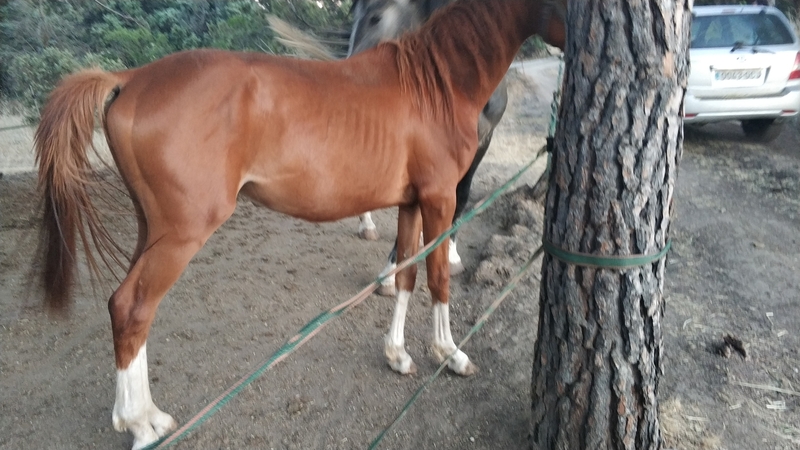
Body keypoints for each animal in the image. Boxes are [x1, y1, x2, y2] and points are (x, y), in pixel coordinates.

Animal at [34, 1, 566, 448]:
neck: (435, 83)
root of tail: (131, 78)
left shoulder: (412, 203)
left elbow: (406, 274)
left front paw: (397, 355)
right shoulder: (439, 199)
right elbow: (437, 278)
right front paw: (449, 354)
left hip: (152, 228)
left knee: (125, 307)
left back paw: (147, 417)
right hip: (181, 234)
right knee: (133, 309)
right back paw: (141, 425)